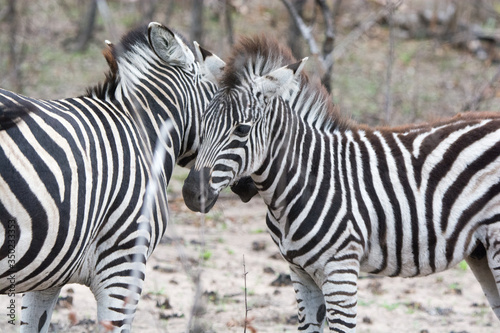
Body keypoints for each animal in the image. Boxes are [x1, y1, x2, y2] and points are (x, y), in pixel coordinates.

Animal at [182, 35, 500, 330]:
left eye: (242, 129)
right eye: (203, 122)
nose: (191, 194)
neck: (301, 184)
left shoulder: (341, 270)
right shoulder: (299, 273)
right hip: (480, 252)